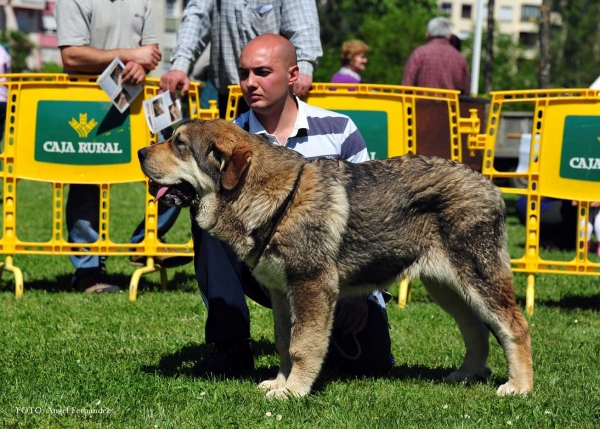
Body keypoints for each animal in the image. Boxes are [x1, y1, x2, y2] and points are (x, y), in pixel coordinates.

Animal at [139, 118, 536, 398]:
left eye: (179, 144)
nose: (141, 153)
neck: (271, 196)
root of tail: (488, 185)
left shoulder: (311, 285)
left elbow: (303, 344)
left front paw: (294, 391)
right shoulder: (282, 292)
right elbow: (284, 341)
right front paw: (280, 382)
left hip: (479, 278)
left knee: (514, 326)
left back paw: (520, 386)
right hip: (446, 286)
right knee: (475, 329)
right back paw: (467, 374)